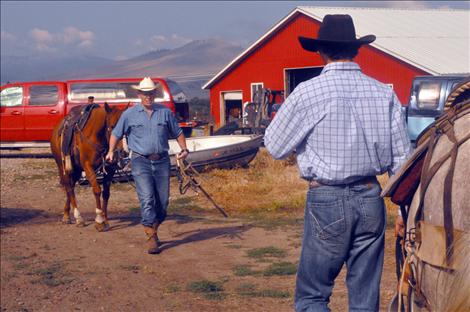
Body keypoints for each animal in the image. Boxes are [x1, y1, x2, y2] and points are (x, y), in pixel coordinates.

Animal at [50, 102, 126, 232]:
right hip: (63, 166)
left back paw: (66, 215)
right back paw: (78, 218)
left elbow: (106, 193)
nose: (122, 151)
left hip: (76, 170)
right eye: (112, 126)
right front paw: (99, 221)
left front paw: (105, 220)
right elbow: (97, 190)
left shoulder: (110, 169)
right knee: (69, 187)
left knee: (70, 187)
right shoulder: (88, 166)